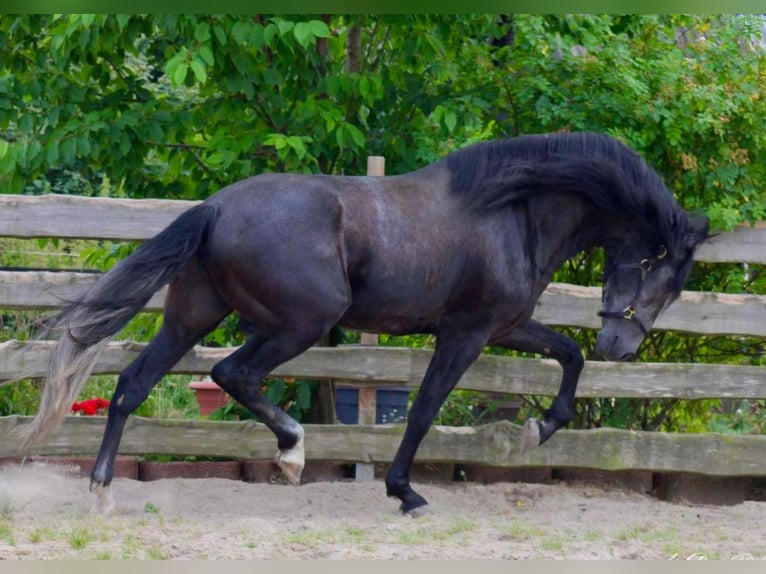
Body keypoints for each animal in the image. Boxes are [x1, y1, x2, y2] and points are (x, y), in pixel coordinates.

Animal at [22, 132, 708, 516]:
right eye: (661, 270)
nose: (622, 345)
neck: (513, 213)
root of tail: (216, 207)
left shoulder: (505, 326)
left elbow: (568, 355)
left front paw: (541, 430)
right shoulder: (465, 332)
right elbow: (425, 409)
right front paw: (405, 493)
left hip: (193, 314)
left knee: (133, 384)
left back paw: (103, 491)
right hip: (304, 320)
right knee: (231, 373)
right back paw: (293, 451)